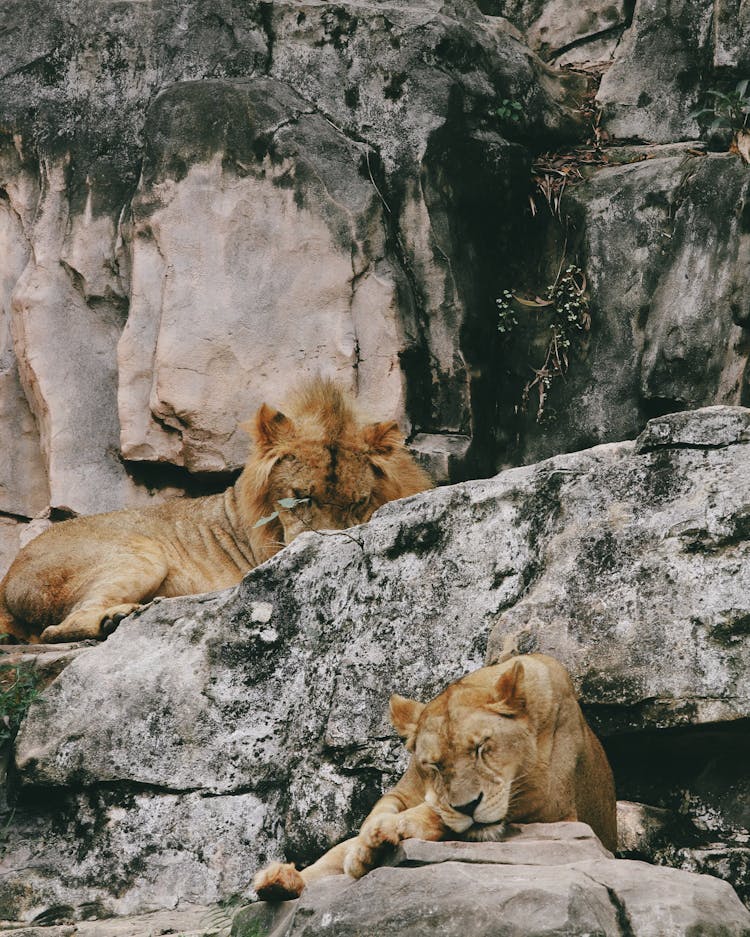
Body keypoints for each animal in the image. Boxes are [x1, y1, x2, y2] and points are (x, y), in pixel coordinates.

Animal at [0, 378, 432, 644]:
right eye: (299, 497)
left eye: (358, 502)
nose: (322, 541)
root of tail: (7, 581)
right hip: (142, 554)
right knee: (59, 627)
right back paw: (116, 618)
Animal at [253, 652, 616, 900]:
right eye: (435, 766)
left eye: (481, 748)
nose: (468, 806)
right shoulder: (406, 789)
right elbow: (380, 813)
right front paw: (367, 845)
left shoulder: (549, 800)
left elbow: (435, 814)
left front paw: (385, 836)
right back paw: (279, 882)